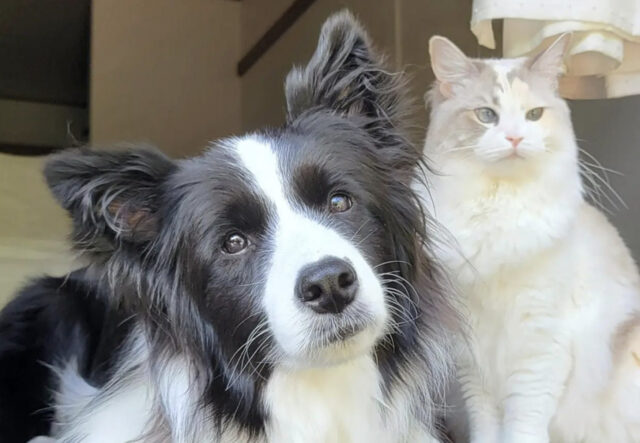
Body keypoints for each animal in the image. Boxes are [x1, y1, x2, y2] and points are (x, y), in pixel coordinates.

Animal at [420, 34, 640, 443]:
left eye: (534, 115)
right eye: (486, 115)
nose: (515, 138)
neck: (499, 208)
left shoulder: (539, 349)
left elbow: (523, 425)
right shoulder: (473, 358)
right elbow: (487, 428)